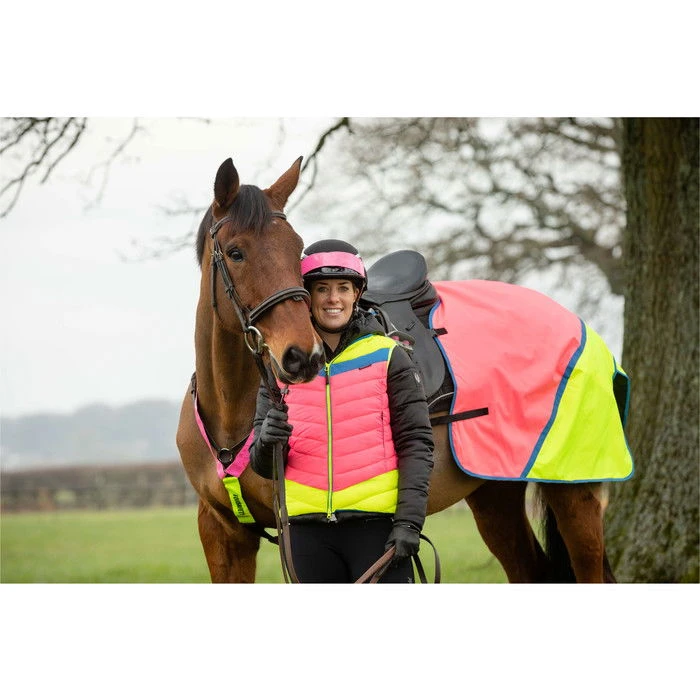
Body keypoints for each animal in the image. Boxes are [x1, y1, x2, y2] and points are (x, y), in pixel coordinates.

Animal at [176, 155, 626, 583]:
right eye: (236, 252)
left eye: (297, 250)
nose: (302, 355)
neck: (229, 413)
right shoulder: (223, 533)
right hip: (493, 493)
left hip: (573, 491)